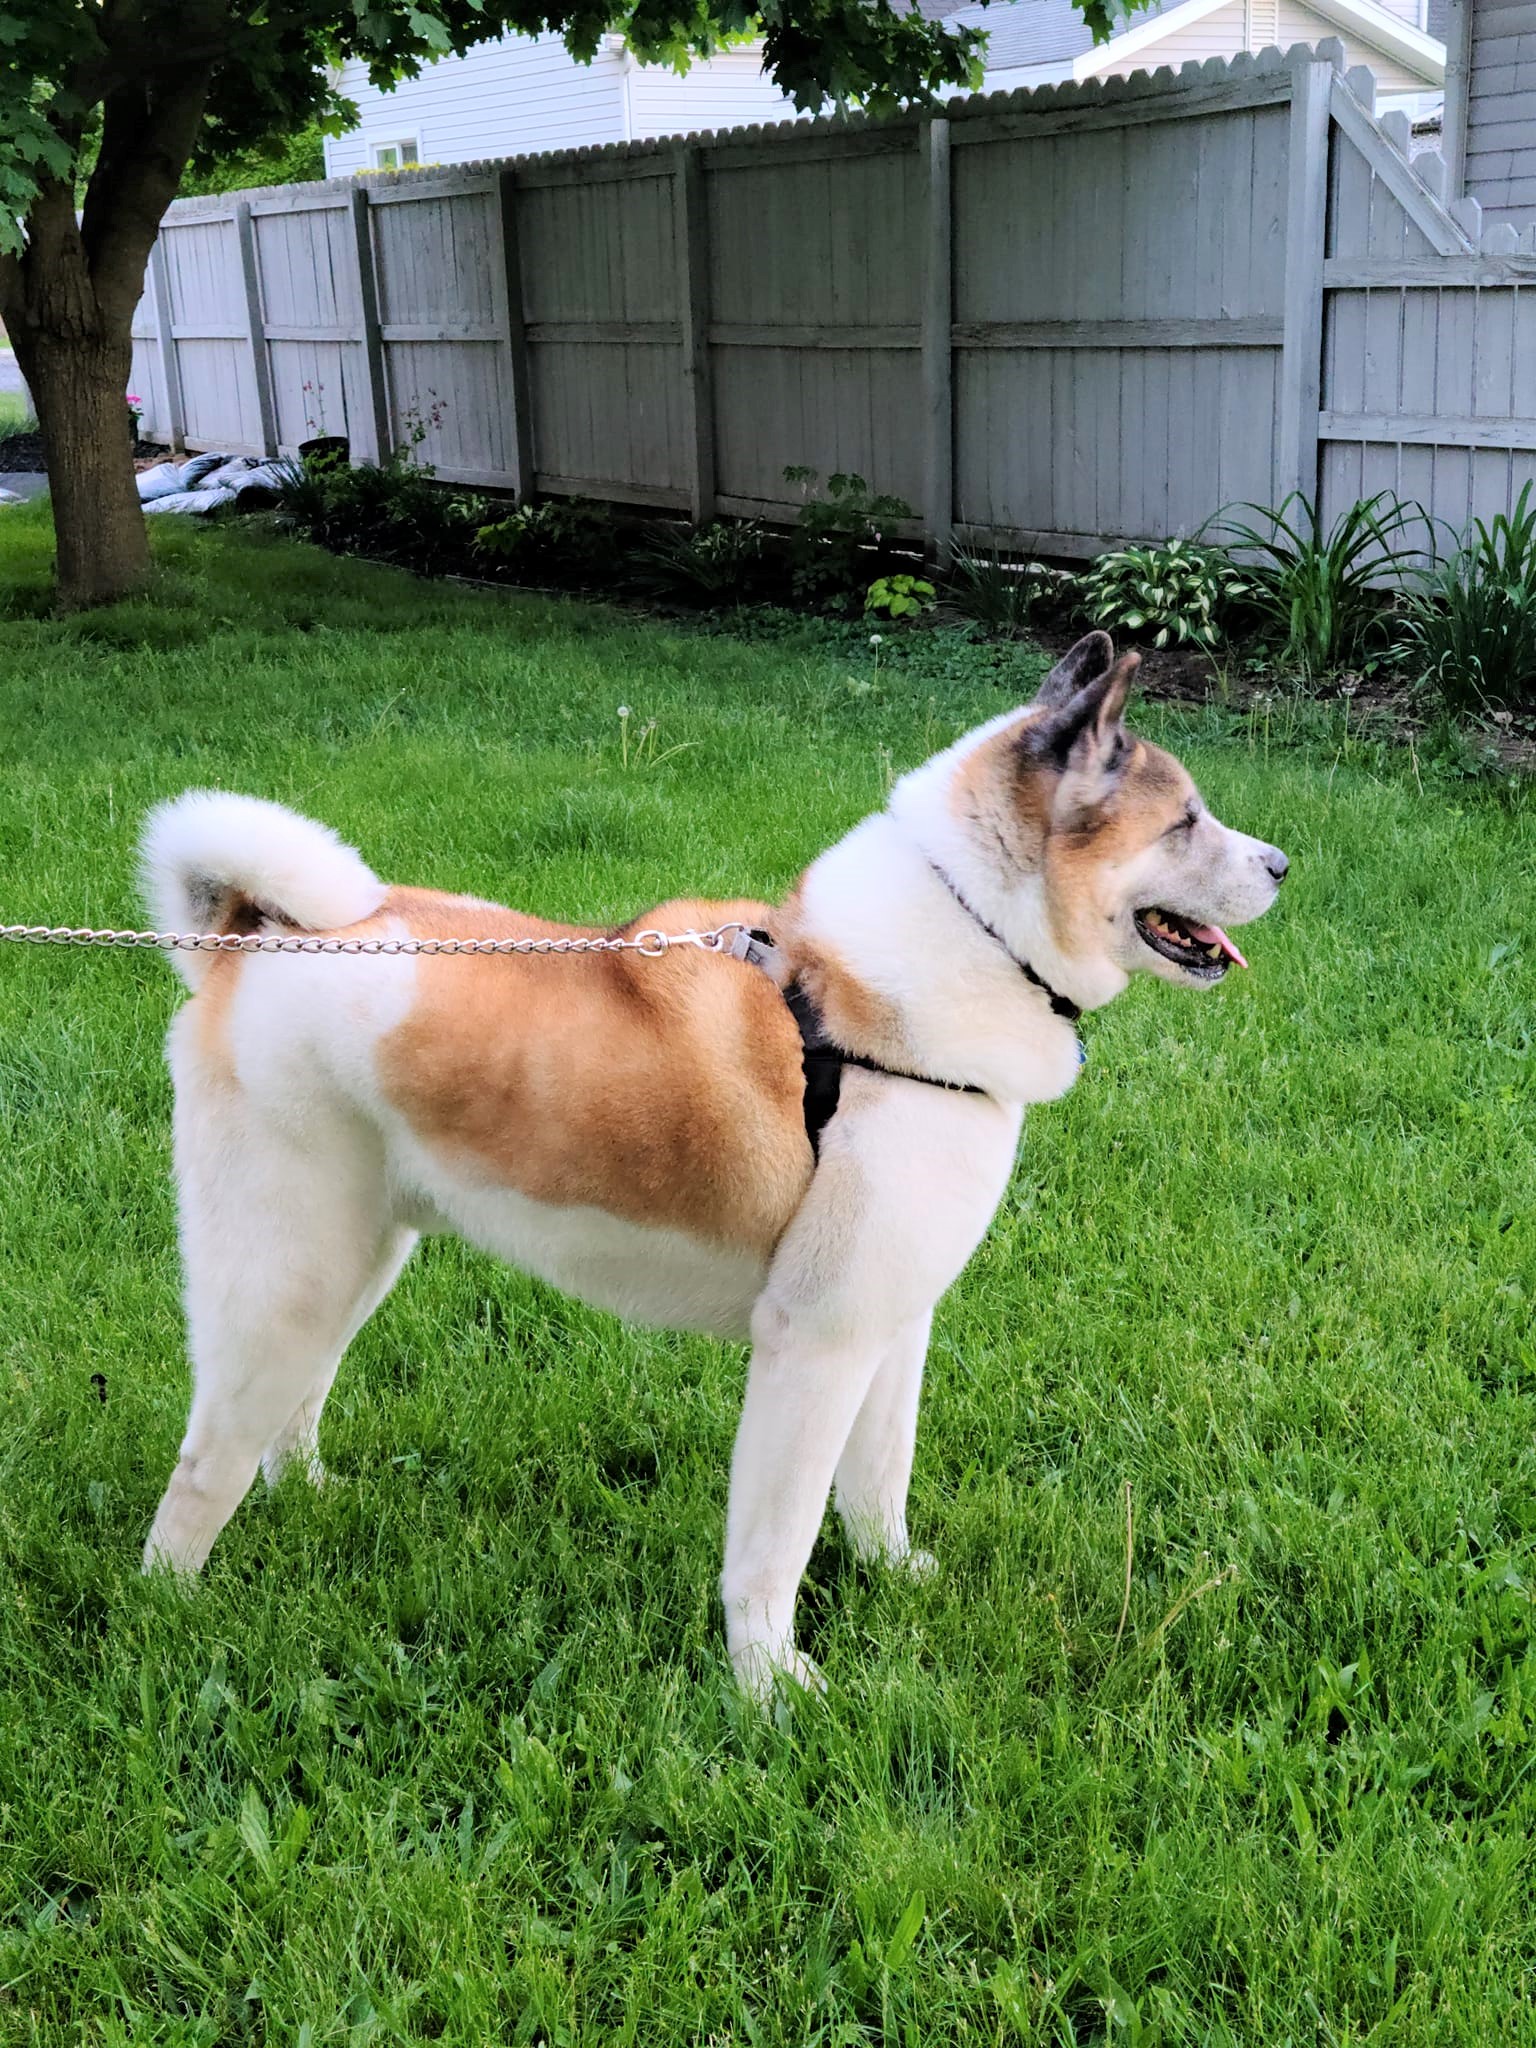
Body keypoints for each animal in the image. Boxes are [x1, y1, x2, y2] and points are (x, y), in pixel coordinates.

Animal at [141, 634, 1286, 1695]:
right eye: (1185, 822)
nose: (1280, 865)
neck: (967, 940)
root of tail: (257, 935)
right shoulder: (814, 1345)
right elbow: (776, 1544)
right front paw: (771, 1684)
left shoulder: (890, 1323)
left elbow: (878, 1480)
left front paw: (895, 1574)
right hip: (286, 1276)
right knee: (203, 1465)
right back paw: (173, 1612)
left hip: (357, 1256)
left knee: (294, 1409)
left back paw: (312, 1497)